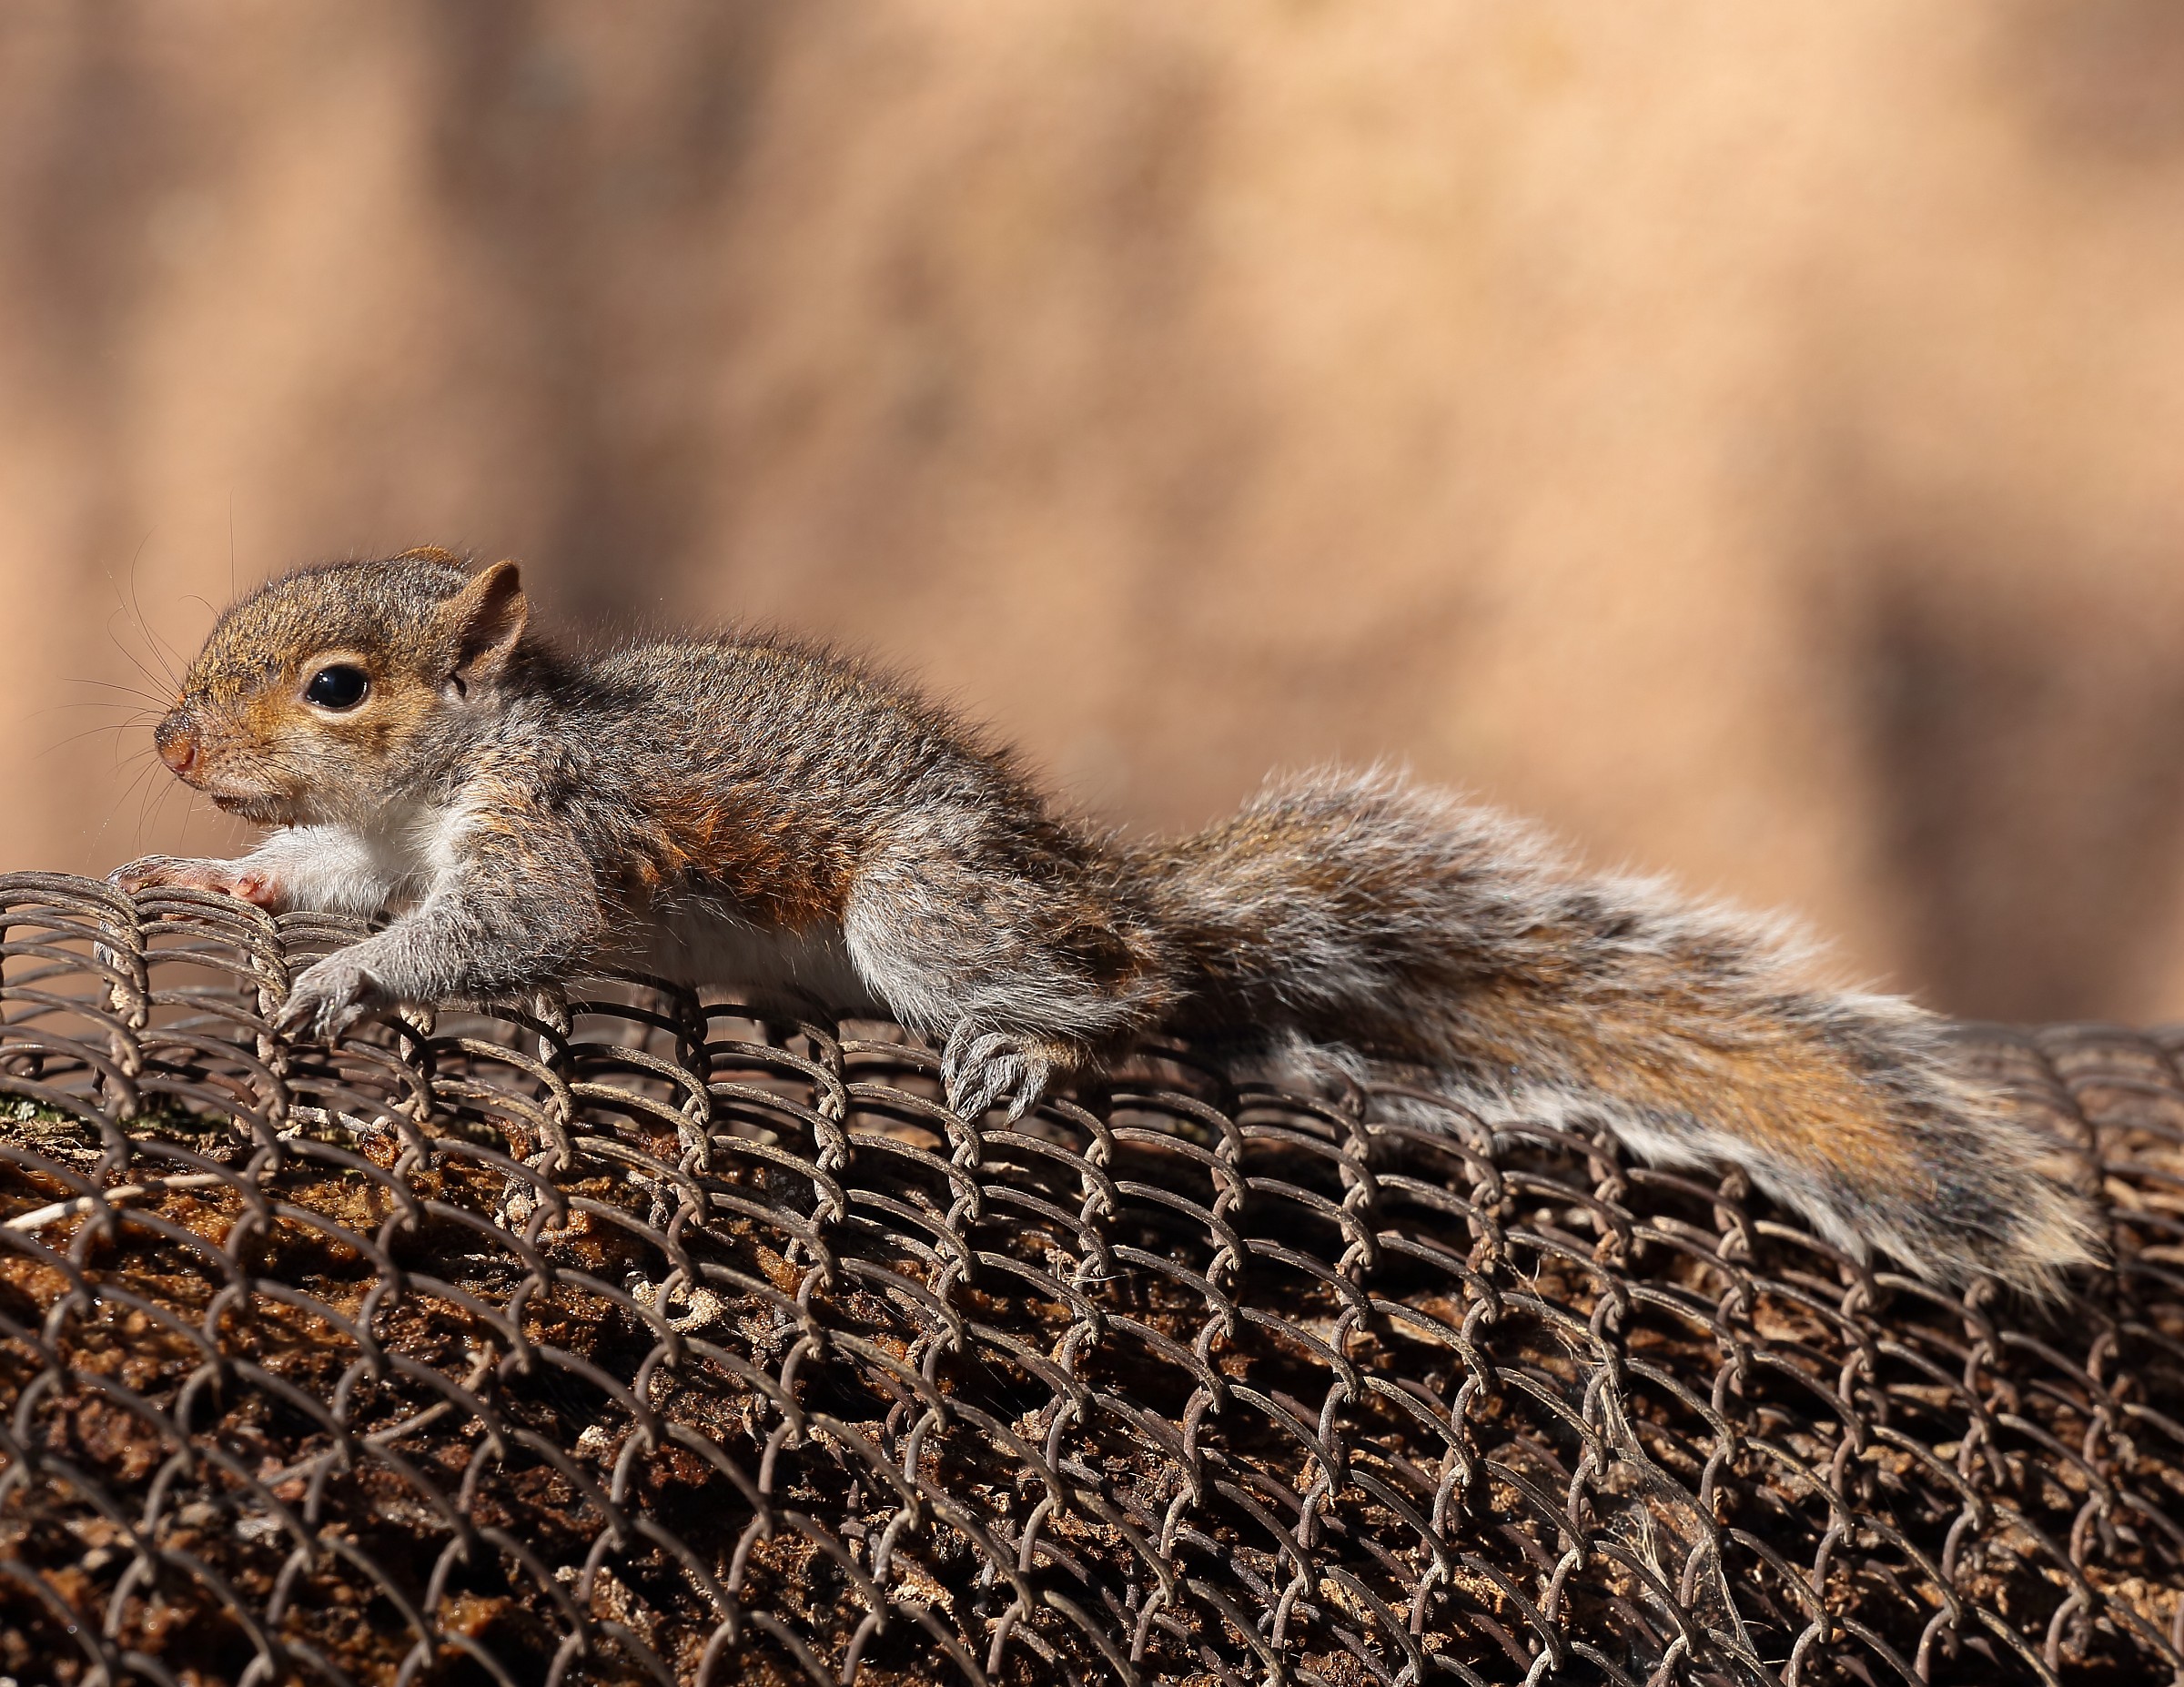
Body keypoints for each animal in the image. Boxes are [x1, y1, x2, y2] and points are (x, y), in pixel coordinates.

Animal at [111, 549, 2098, 1295]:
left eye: (339, 682)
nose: (169, 742)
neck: (456, 760)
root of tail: (1098, 881)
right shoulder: (392, 839)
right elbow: (331, 875)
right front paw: (233, 884)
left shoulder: (555, 834)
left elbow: (500, 928)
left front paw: (356, 979)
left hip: (928, 908)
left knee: (1130, 993)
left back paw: (1037, 1044)